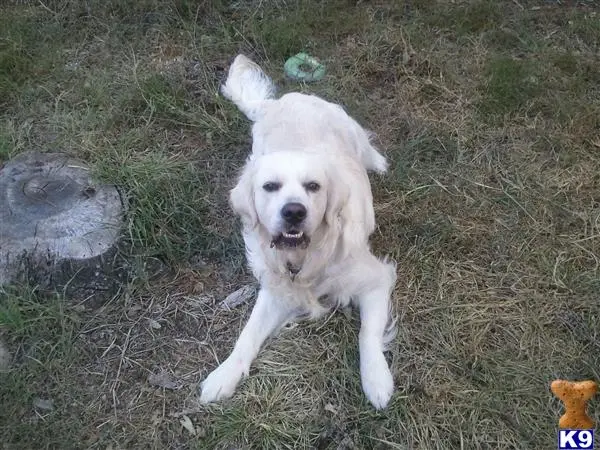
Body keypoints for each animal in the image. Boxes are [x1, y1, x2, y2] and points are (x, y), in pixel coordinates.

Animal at [199, 54, 398, 410]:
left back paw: (378, 161)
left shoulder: (376, 278)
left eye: (313, 186)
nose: (294, 211)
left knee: (366, 144)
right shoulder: (276, 289)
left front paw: (377, 380)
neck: (306, 255)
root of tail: (277, 103)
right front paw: (223, 375)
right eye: (270, 187)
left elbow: (367, 335)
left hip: (348, 125)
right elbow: (247, 335)